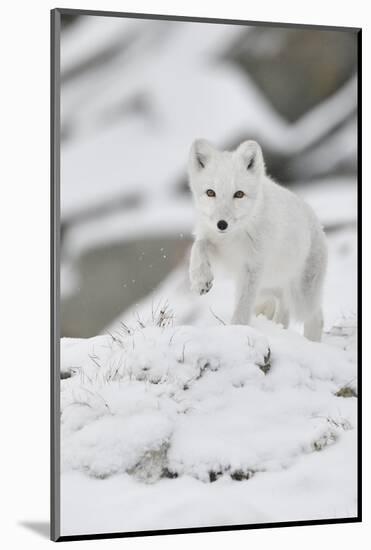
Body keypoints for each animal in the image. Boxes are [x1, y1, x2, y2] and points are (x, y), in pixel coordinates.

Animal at [189, 139, 328, 340]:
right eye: (210, 193)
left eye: (239, 194)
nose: (221, 224)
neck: (235, 236)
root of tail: (317, 223)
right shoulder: (219, 248)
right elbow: (198, 245)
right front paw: (200, 280)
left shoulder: (252, 268)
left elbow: (242, 307)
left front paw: (236, 330)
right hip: (270, 290)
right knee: (283, 313)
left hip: (301, 296)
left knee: (316, 317)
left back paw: (312, 344)